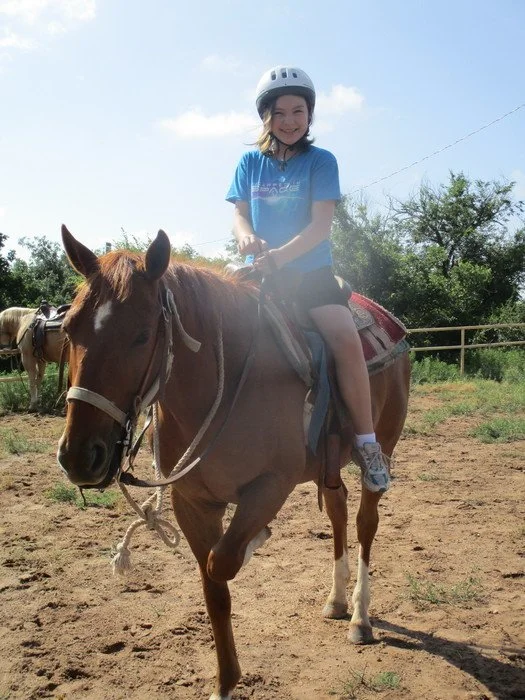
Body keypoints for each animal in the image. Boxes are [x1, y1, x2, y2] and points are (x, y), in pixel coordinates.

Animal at [57, 225, 410, 700]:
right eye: (69, 329)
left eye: (142, 334)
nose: (79, 456)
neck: (224, 387)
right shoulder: (191, 502)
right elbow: (214, 588)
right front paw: (225, 683)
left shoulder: (271, 486)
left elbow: (222, 560)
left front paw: (257, 538)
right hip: (329, 466)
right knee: (337, 513)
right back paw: (336, 601)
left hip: (382, 447)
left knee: (364, 522)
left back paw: (360, 616)